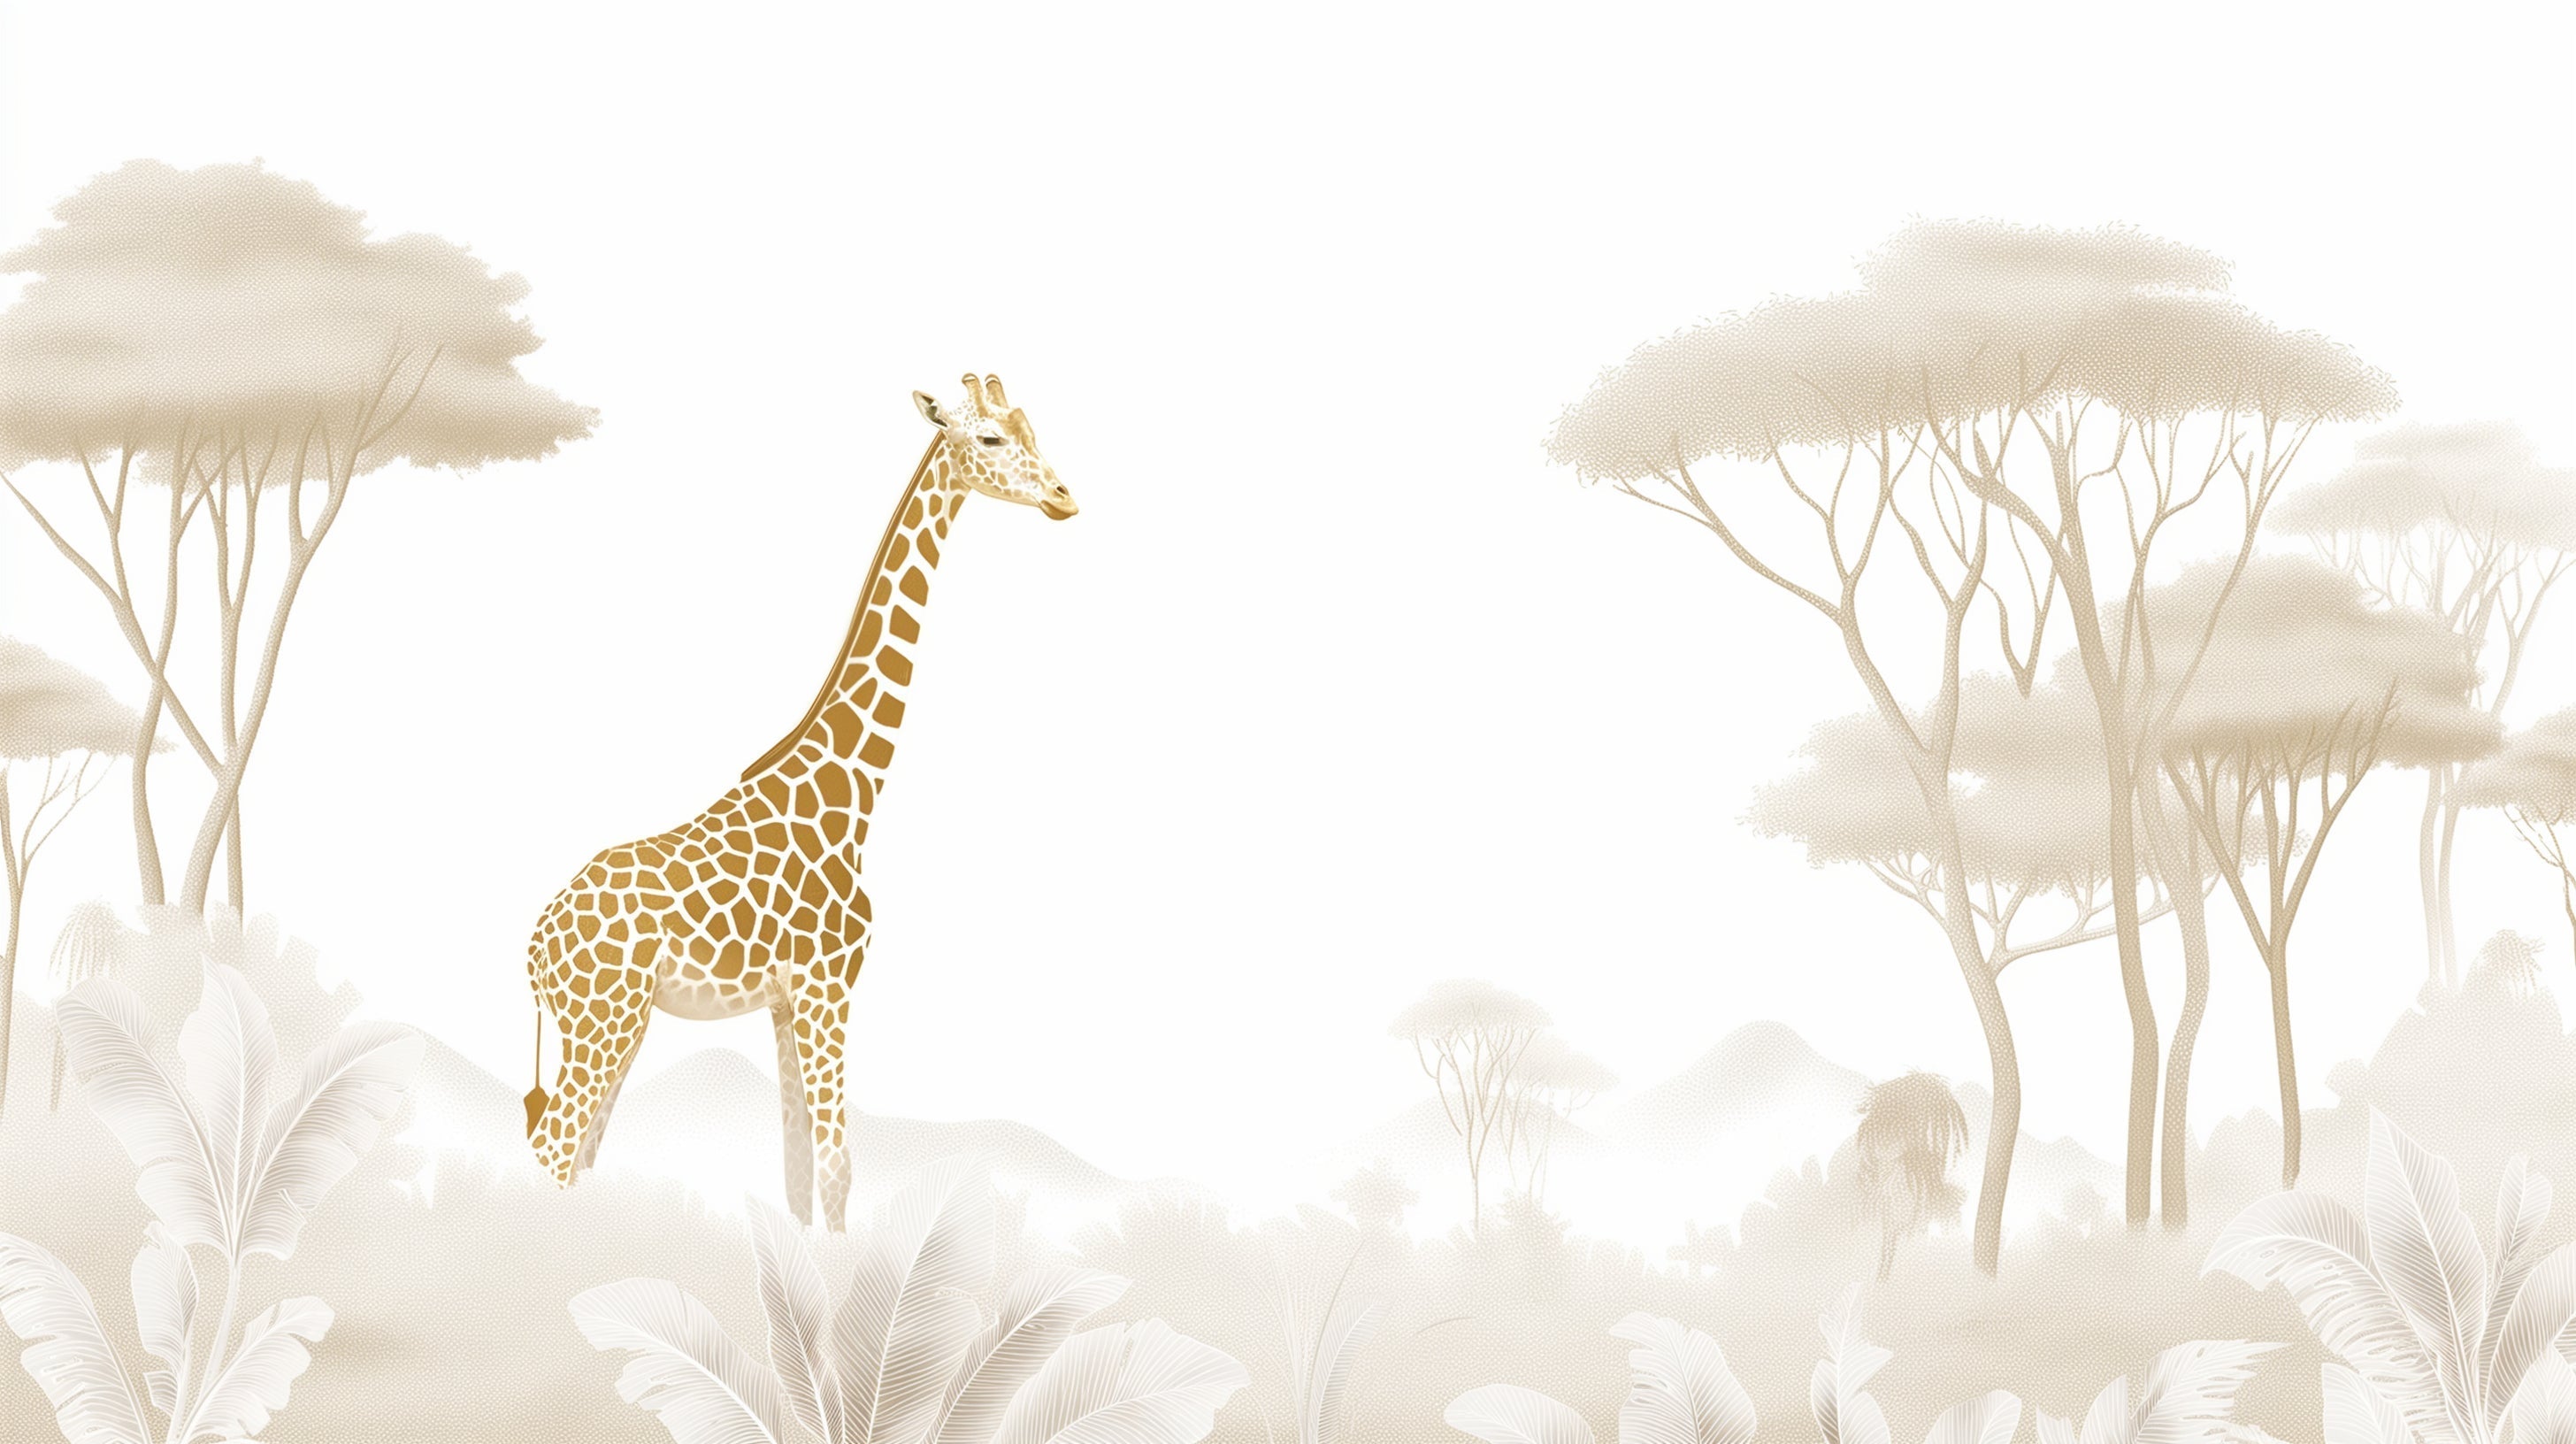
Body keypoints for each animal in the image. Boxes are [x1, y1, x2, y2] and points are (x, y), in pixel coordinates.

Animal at [521, 373, 1076, 1229]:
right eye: (988, 438)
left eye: (1034, 430)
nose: (1062, 497)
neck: (850, 793)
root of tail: (534, 948)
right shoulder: (828, 986)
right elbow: (840, 1164)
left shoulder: (786, 1004)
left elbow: (797, 1171)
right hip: (602, 1020)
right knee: (553, 1149)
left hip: (617, 1025)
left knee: (572, 1159)